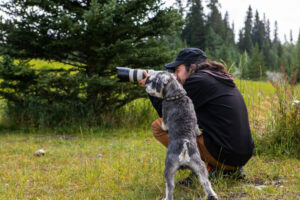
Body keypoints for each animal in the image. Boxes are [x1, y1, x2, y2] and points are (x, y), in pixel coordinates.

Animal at [145, 71, 218, 200]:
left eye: (154, 81)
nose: (146, 86)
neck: (177, 95)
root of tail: (184, 147)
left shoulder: (164, 115)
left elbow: (164, 125)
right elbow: (196, 127)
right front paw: (199, 132)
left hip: (169, 169)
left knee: (170, 188)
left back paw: (166, 198)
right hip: (200, 167)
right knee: (206, 182)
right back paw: (212, 195)